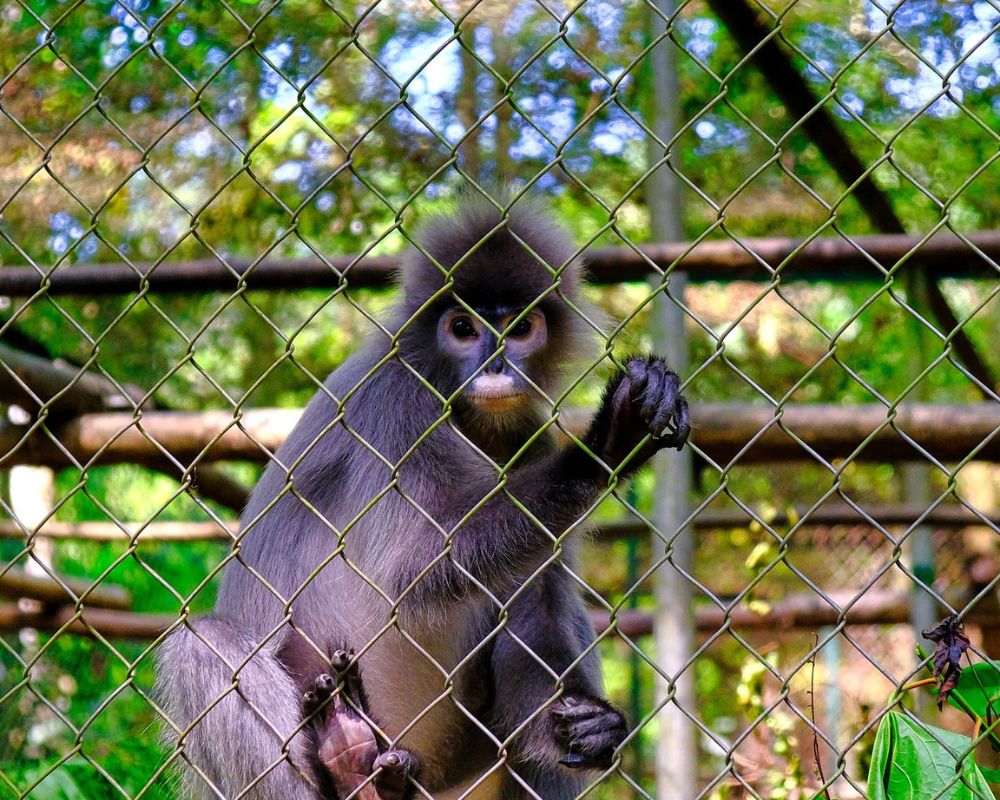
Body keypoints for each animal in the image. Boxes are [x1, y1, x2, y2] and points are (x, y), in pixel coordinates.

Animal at [156, 195, 692, 800]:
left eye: (521, 328)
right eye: (462, 328)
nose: (495, 366)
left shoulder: (528, 432)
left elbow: (537, 590)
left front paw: (591, 726)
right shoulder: (393, 399)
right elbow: (411, 567)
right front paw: (609, 442)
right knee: (202, 641)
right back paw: (350, 764)